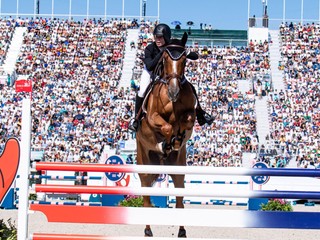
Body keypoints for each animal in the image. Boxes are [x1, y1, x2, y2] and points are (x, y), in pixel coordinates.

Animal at [135, 31, 198, 237]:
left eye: (184, 59)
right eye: (165, 58)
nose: (174, 91)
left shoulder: (191, 114)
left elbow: (186, 121)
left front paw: (177, 141)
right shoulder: (152, 116)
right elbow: (167, 127)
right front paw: (166, 142)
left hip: (178, 169)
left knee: (179, 201)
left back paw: (182, 231)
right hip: (145, 166)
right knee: (146, 199)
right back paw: (147, 231)